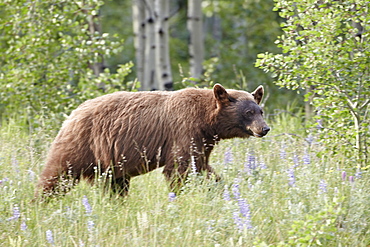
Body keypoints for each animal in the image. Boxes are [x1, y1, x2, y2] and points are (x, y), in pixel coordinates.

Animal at [36, 84, 270, 196]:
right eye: (248, 112)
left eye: (261, 110)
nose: (265, 129)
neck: (207, 121)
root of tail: (72, 114)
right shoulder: (184, 130)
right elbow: (179, 169)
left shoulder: (202, 140)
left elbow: (202, 166)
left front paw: (219, 187)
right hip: (82, 145)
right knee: (57, 174)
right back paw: (39, 202)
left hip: (110, 162)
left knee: (115, 185)